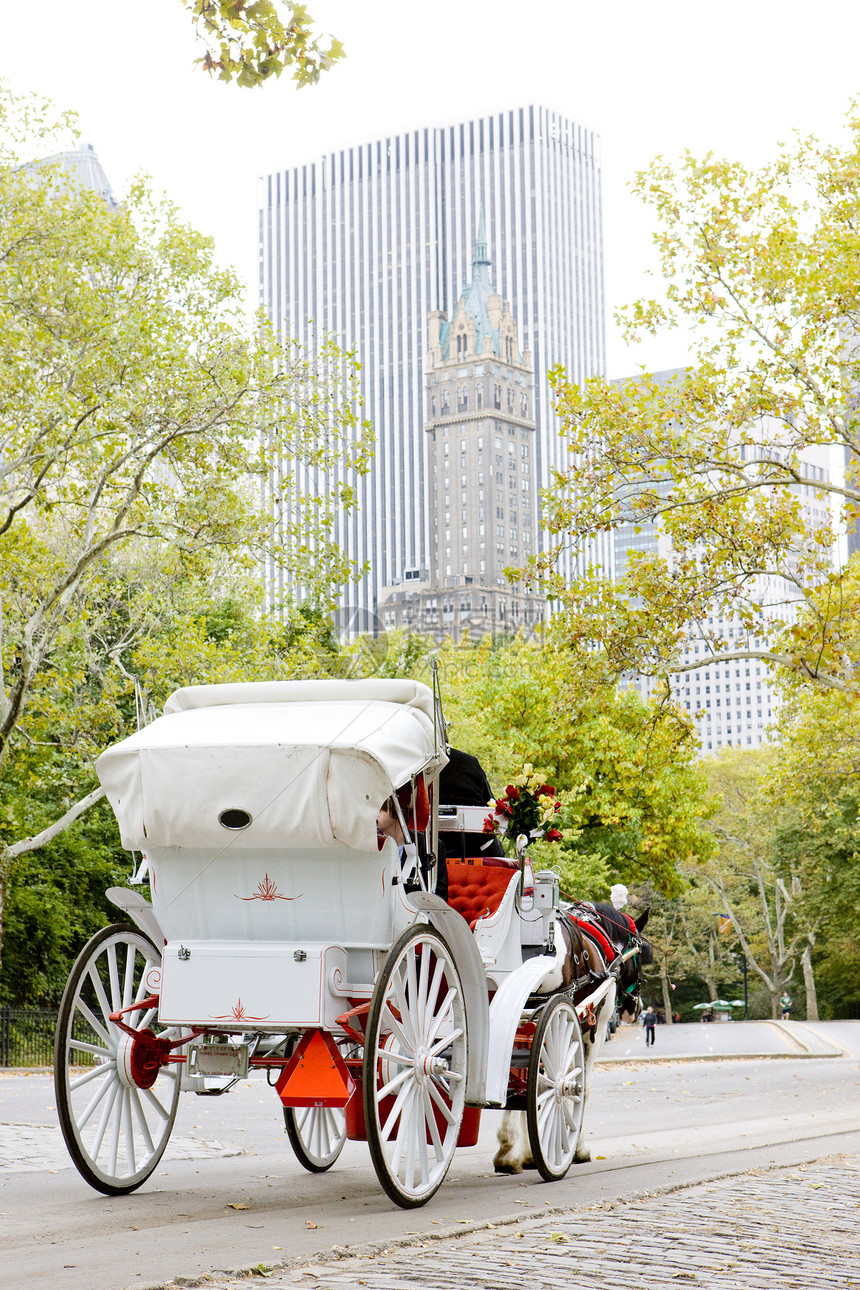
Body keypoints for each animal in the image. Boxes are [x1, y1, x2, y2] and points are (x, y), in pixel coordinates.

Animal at [489, 903, 652, 1176]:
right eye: (639, 956)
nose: (636, 1008)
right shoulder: (590, 1030)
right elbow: (580, 1087)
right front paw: (577, 1149)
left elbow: (530, 1083)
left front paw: (525, 1153)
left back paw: (509, 1151)